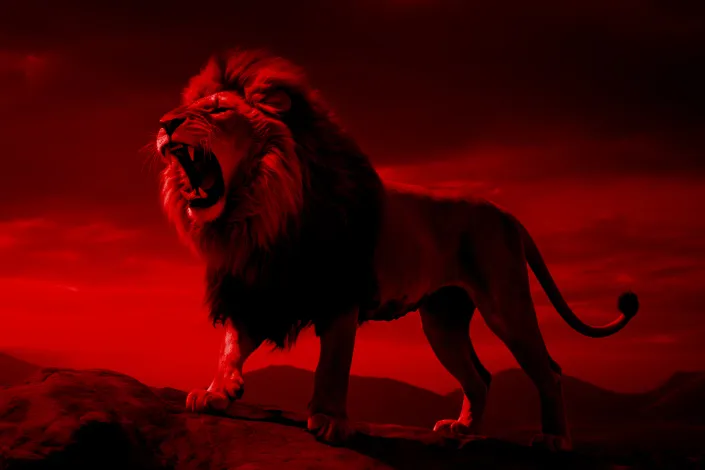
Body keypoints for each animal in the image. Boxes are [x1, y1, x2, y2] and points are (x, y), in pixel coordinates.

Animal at [154, 48, 639, 451]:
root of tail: (505, 212)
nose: (164, 123)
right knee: (480, 376)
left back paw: (555, 439)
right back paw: (463, 429)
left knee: (549, 371)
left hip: (506, 306)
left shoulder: (338, 292)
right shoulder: (257, 286)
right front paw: (217, 391)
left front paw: (330, 419)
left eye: (217, 110)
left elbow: (332, 365)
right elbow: (232, 344)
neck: (260, 212)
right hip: (443, 319)